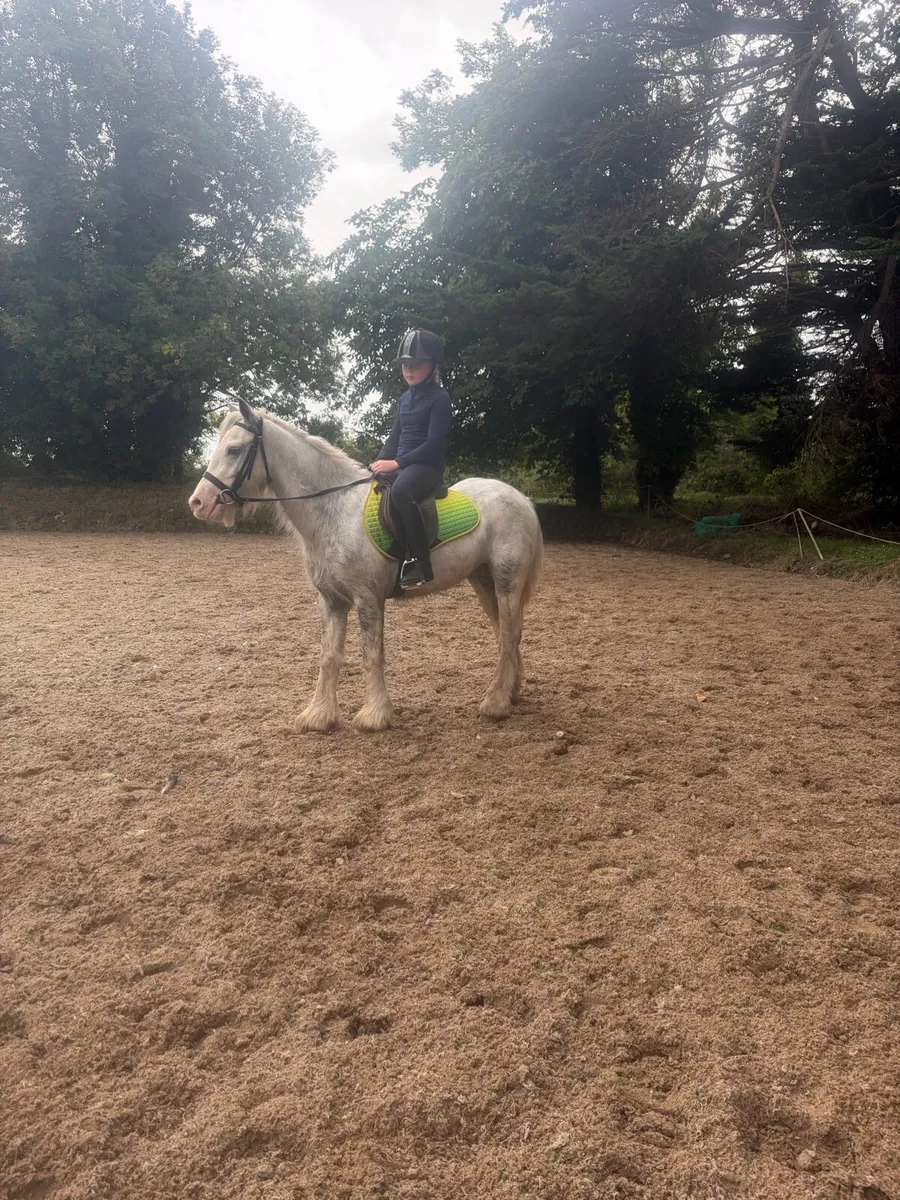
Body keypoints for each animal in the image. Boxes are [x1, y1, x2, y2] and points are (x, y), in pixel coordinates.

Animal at [188, 400, 543, 733]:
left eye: (234, 449)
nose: (198, 503)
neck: (334, 511)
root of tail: (521, 499)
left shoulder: (367, 598)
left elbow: (371, 654)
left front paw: (375, 716)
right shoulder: (331, 600)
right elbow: (329, 656)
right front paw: (319, 716)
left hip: (506, 581)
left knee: (509, 634)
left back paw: (496, 703)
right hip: (483, 581)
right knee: (506, 633)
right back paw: (510, 692)